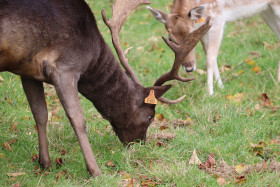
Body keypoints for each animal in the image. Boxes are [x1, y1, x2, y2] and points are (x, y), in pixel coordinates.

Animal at [0, 0, 210, 177]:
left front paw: (45, 164)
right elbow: (78, 120)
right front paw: (95, 171)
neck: (90, 57)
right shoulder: (65, 67)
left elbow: (40, 114)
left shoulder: (28, 70)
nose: (141, 144)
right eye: (151, 116)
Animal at [147, 0, 280, 95]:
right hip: (267, 10)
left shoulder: (217, 19)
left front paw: (210, 92)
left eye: (192, 33)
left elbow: (210, 58)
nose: (189, 68)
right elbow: (210, 55)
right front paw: (221, 87)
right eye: (170, 39)